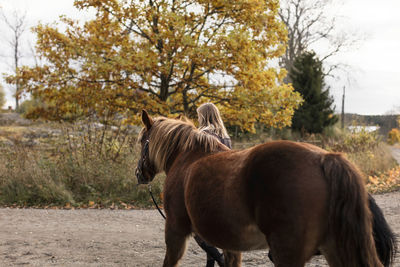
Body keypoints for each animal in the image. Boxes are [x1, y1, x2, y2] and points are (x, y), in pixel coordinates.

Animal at [137, 110, 394, 266]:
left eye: (141, 141)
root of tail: (326, 159)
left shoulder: (175, 230)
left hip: (288, 252)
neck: (187, 157)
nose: (140, 174)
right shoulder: (230, 243)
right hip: (335, 248)